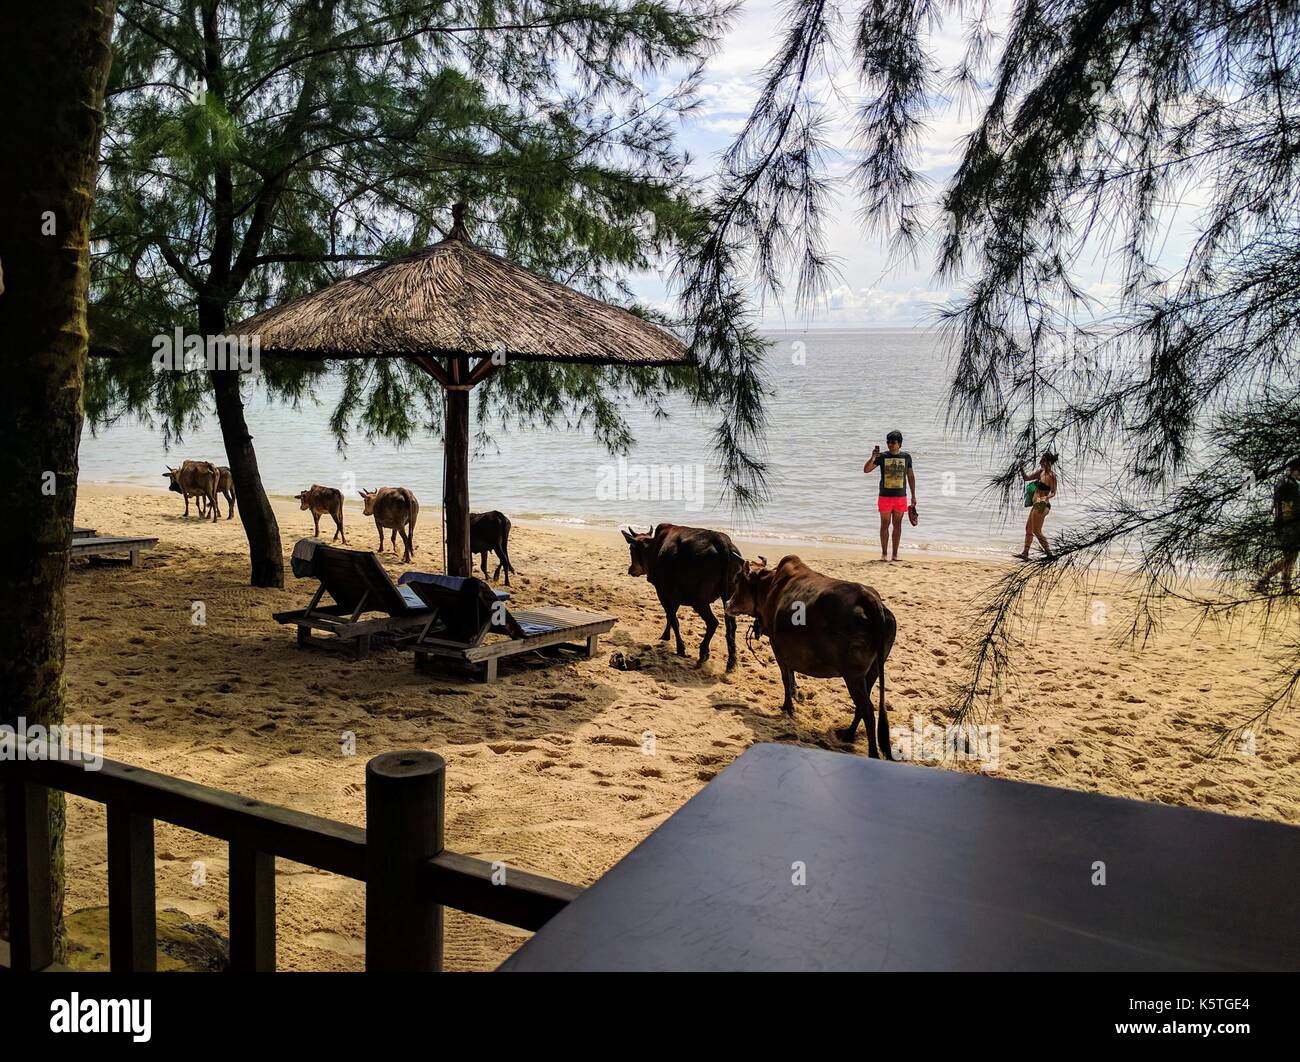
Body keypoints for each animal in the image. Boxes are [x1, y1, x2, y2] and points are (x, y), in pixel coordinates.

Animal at [728, 556, 899, 753]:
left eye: (737, 580)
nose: (727, 604)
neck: (769, 587)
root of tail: (870, 600)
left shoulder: (778, 649)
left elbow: (786, 679)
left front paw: (788, 707)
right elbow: (791, 677)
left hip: (853, 675)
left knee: (868, 711)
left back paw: (871, 751)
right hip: (873, 670)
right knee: (862, 708)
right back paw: (848, 735)